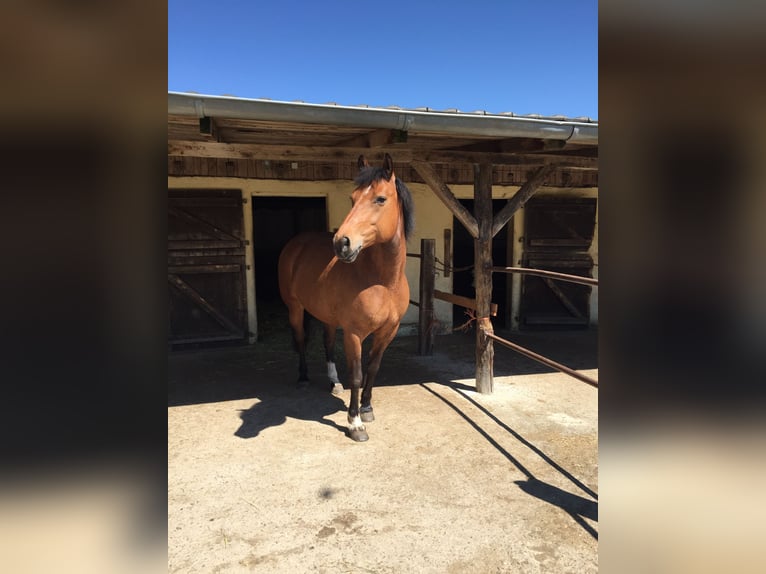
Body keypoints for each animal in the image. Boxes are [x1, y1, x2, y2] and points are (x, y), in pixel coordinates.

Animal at [277, 153, 414, 442]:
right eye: (352, 198)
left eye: (380, 199)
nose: (341, 244)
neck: (383, 282)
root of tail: (297, 243)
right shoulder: (354, 333)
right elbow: (357, 375)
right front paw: (355, 423)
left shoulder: (388, 331)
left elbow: (373, 368)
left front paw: (367, 408)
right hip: (295, 308)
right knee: (301, 339)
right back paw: (303, 378)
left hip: (327, 315)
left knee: (328, 343)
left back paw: (334, 382)